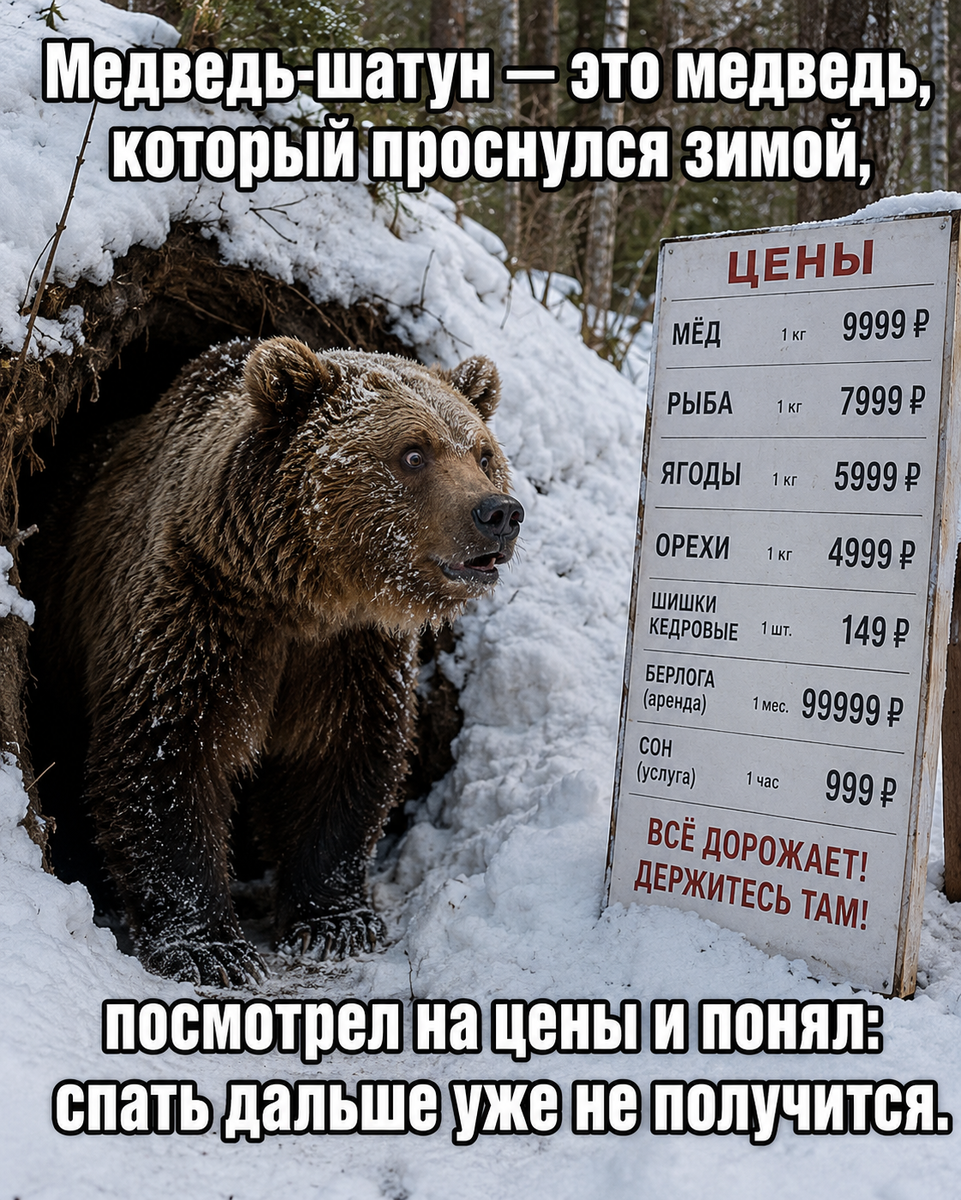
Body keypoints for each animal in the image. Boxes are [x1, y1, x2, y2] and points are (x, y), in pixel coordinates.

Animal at [30, 337, 523, 986]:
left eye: (484, 454)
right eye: (414, 453)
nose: (499, 513)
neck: (304, 598)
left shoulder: (347, 654)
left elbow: (339, 759)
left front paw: (336, 923)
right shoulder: (199, 618)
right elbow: (166, 758)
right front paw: (210, 949)